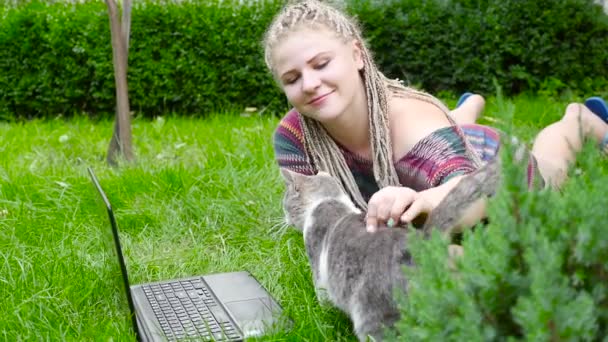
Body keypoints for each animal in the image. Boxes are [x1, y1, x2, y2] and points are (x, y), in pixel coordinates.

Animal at [282, 169, 410, 342]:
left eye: (285, 206)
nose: (285, 219)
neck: (327, 199)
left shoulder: (318, 269)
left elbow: (322, 296)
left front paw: (322, 314)